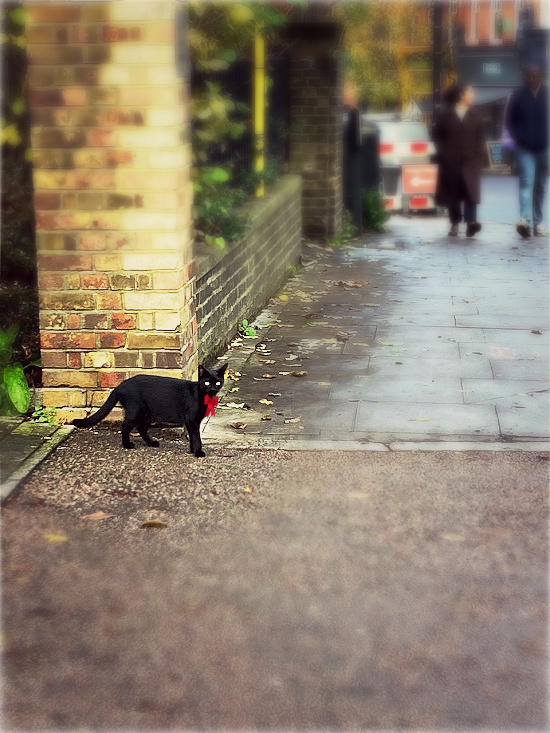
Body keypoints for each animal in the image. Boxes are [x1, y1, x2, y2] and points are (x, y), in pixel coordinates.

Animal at [72, 362, 227, 454]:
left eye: (218, 383)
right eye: (206, 383)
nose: (213, 389)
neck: (202, 395)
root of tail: (120, 385)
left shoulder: (194, 421)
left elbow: (194, 436)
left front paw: (192, 450)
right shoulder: (191, 420)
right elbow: (196, 436)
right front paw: (198, 452)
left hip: (148, 413)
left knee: (141, 428)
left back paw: (152, 443)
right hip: (137, 411)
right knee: (125, 426)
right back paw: (127, 445)